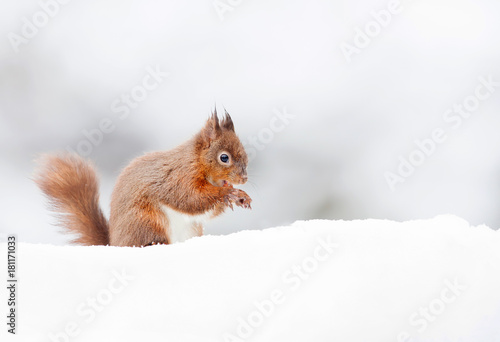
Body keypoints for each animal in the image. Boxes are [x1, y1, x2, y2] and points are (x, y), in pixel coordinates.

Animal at [35, 111, 252, 247]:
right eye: (224, 157)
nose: (244, 179)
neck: (197, 162)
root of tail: (115, 243)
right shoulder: (178, 177)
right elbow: (190, 198)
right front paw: (227, 192)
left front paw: (240, 195)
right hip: (146, 222)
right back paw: (154, 243)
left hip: (190, 229)